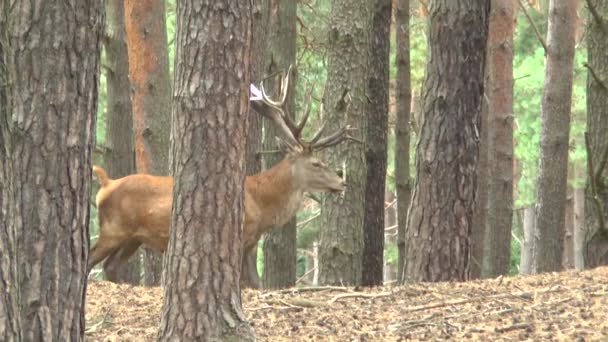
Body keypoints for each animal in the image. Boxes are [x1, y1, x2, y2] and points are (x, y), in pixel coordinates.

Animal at [89, 68, 356, 282]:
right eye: (316, 163)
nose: (342, 182)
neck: (262, 203)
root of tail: (105, 183)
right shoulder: (243, 234)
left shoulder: (251, 243)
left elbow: (255, 283)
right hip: (113, 229)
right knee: (91, 259)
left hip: (132, 238)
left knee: (110, 267)